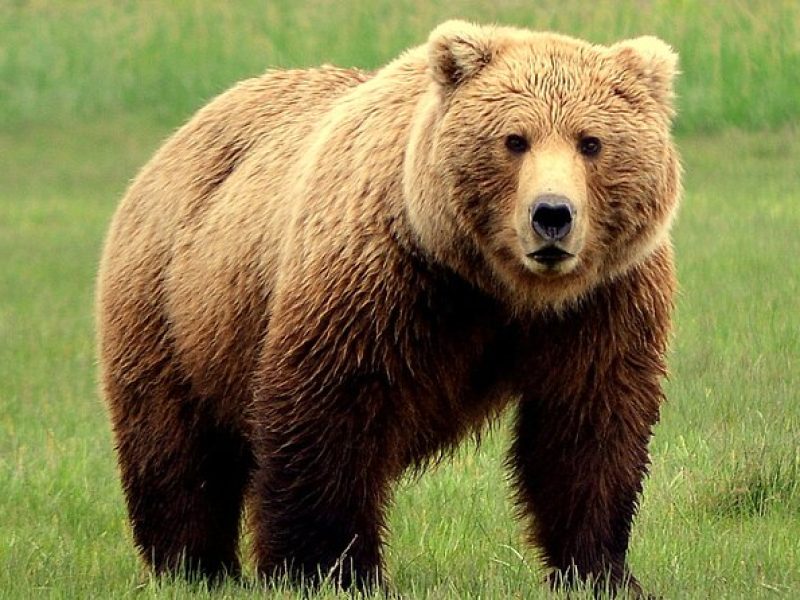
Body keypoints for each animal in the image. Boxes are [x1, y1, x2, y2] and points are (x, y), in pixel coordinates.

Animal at [95, 18, 680, 596]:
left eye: (591, 142)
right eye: (515, 139)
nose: (552, 215)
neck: (500, 287)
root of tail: (179, 136)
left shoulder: (602, 301)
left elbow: (587, 426)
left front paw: (602, 571)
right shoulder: (382, 283)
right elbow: (330, 413)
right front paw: (328, 569)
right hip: (176, 305)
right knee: (178, 448)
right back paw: (193, 566)